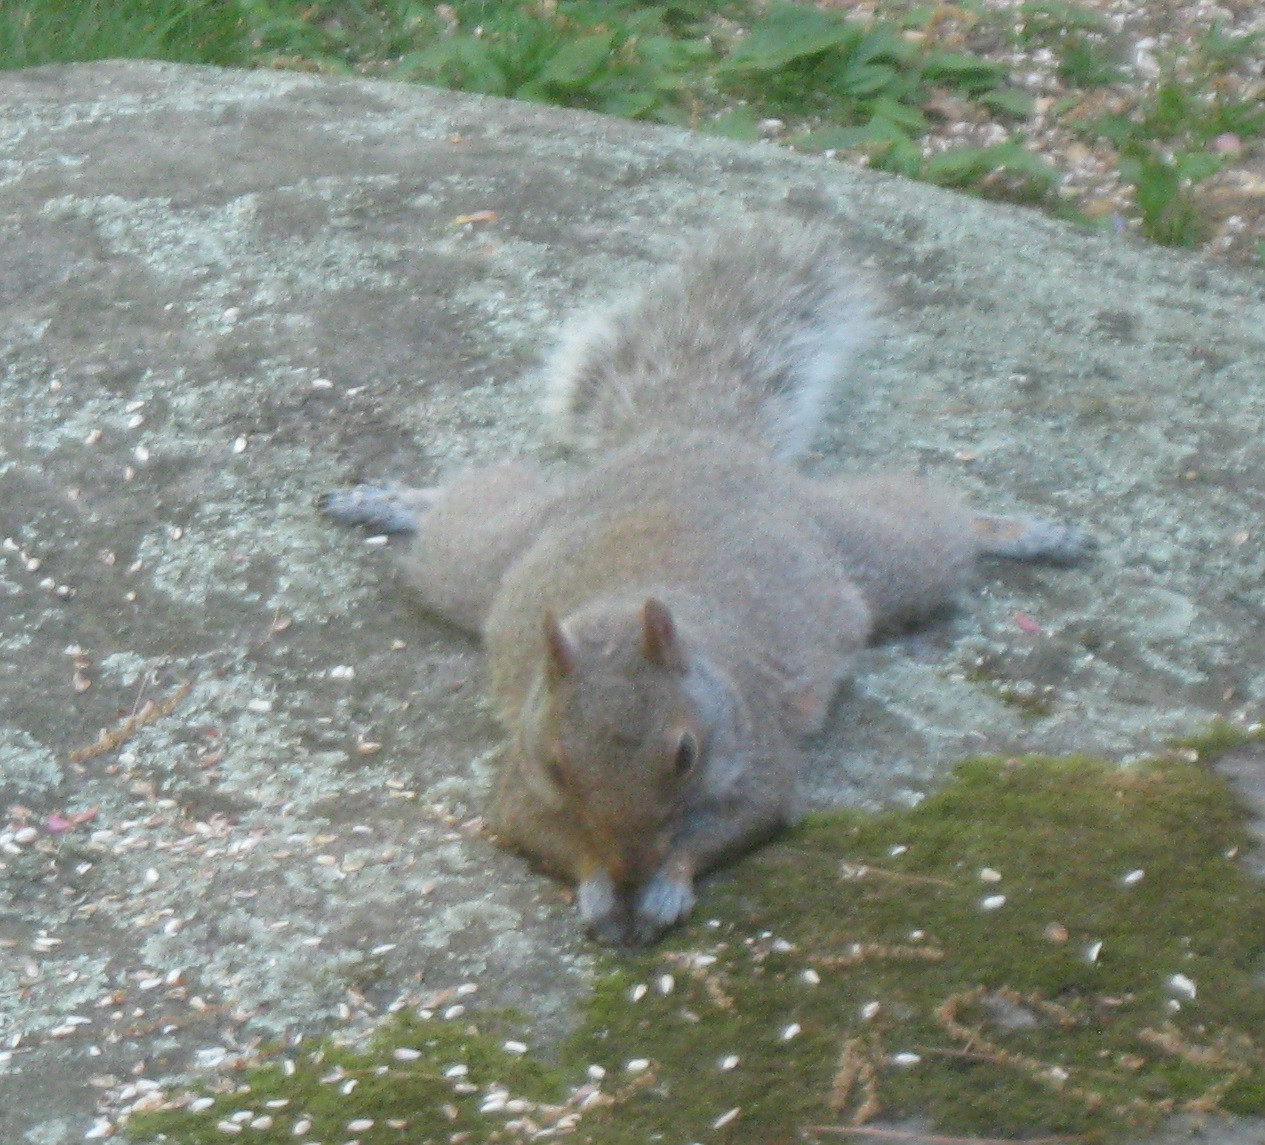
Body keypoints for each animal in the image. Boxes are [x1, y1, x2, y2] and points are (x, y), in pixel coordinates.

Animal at [322, 222, 1086, 947]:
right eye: (557, 764)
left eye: (685, 754)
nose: (632, 865)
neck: (622, 619)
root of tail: (688, 438)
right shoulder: (517, 784)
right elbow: (537, 832)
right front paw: (599, 888)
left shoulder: (762, 757)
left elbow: (738, 823)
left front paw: (665, 885)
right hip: (485, 557)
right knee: (470, 508)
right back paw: (395, 501)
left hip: (874, 553)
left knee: (936, 525)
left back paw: (1023, 532)